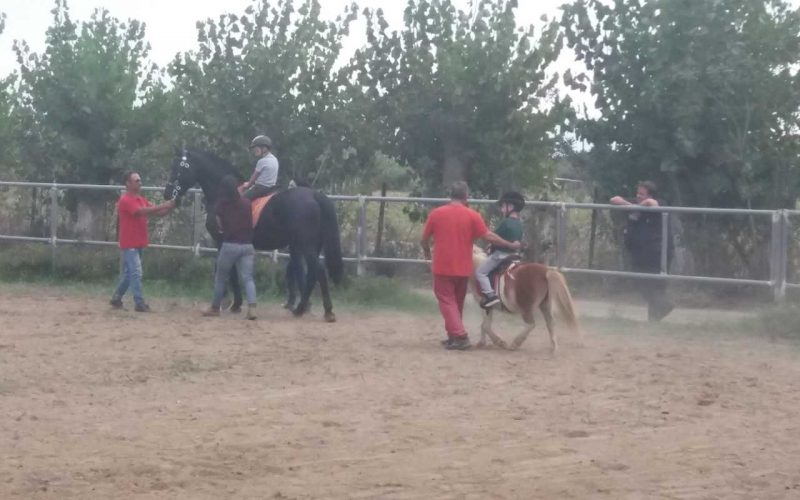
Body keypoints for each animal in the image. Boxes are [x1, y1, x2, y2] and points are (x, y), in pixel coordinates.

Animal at [166, 147, 344, 320]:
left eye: (176, 169)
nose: (167, 193)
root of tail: (314, 195)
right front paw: (234, 303)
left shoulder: (222, 241)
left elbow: (227, 270)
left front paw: (231, 303)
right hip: (310, 245)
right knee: (312, 274)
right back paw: (304, 309)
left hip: (306, 245)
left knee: (318, 271)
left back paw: (321, 310)